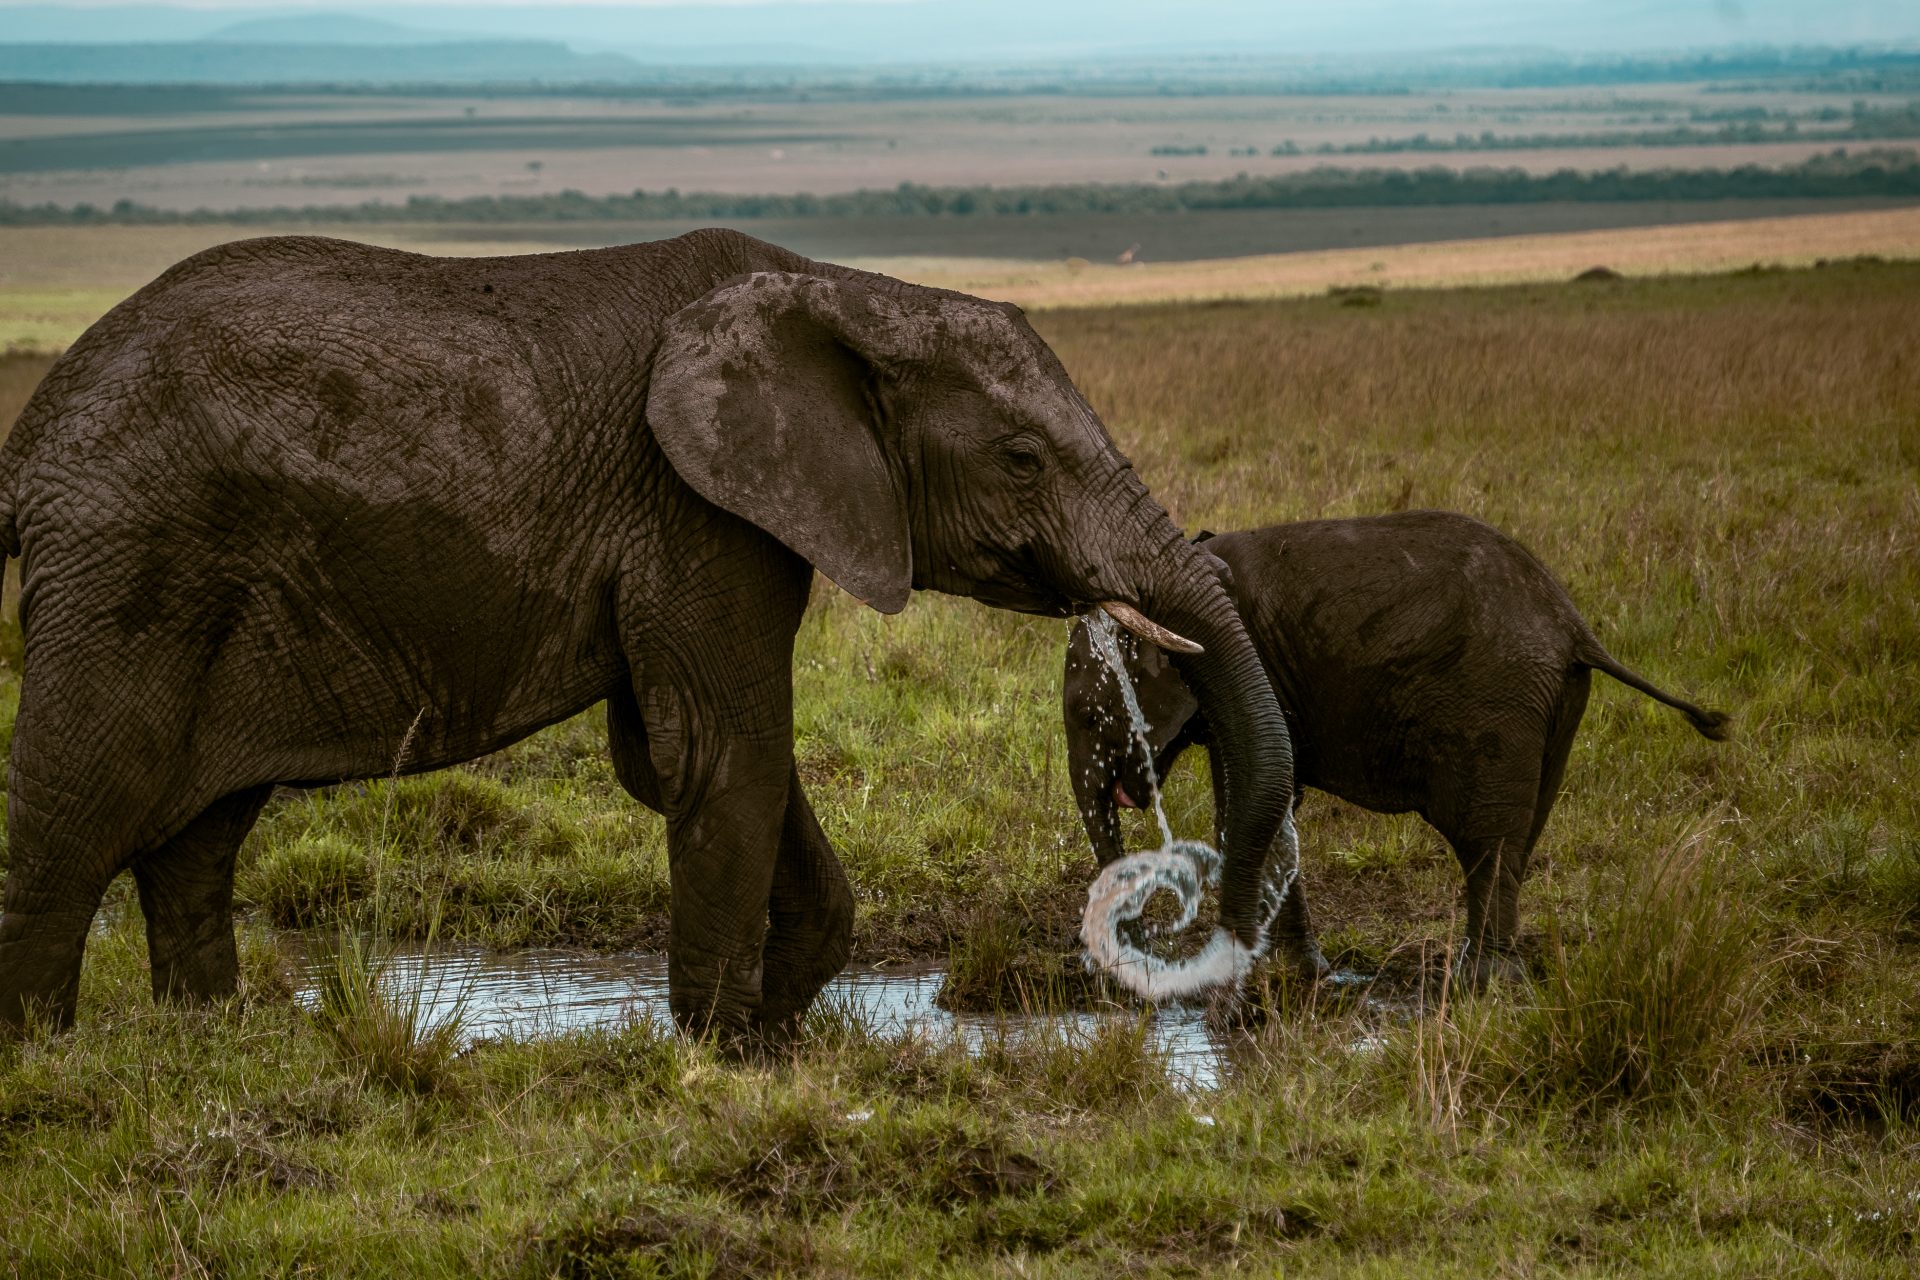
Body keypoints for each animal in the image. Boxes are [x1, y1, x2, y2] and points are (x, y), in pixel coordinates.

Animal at [0, 230, 1297, 1043]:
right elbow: (727, 756)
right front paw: (717, 1048)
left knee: (195, 833)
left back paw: (208, 1038)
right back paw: (49, 1061)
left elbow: (696, 757)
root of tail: (34, 439)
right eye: (1022, 458)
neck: (839, 291)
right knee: (81, 804)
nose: (1178, 920)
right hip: (131, 563)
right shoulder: (695, 508)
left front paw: (771, 1024)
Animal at [1067, 506, 1728, 990]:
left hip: (1500, 700)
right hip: (1557, 704)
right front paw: (1303, 974)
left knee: (1487, 841)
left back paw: (1478, 983)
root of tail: (1576, 626)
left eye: (1089, 716)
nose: (1132, 943)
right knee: (1516, 839)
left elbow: (1246, 804)